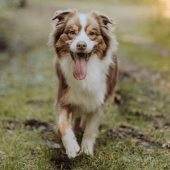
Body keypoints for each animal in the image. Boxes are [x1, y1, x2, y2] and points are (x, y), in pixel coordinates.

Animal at [47, 8, 117, 158]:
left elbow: (90, 129)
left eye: (92, 33)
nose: (81, 45)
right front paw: (72, 147)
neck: (86, 75)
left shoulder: (98, 102)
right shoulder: (64, 97)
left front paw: (86, 150)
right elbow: (62, 125)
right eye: (72, 32)